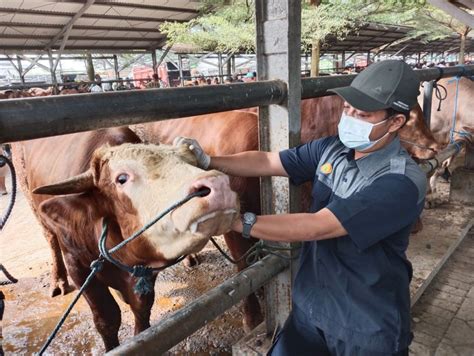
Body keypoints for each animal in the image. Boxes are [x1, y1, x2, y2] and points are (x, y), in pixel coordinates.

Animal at [13, 126, 241, 350]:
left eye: (193, 162)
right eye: (121, 179)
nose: (219, 185)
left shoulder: (145, 271)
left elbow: (141, 308)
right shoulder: (77, 265)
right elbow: (107, 318)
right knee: (50, 238)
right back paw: (58, 281)